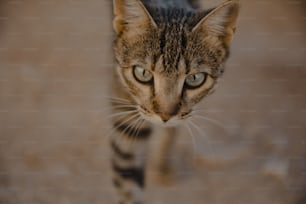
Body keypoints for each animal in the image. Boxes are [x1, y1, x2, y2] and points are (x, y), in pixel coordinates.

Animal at [110, 0, 239, 202]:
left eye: (195, 79)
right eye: (142, 73)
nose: (165, 115)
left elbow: (173, 130)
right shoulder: (126, 114)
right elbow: (128, 185)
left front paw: (163, 164)